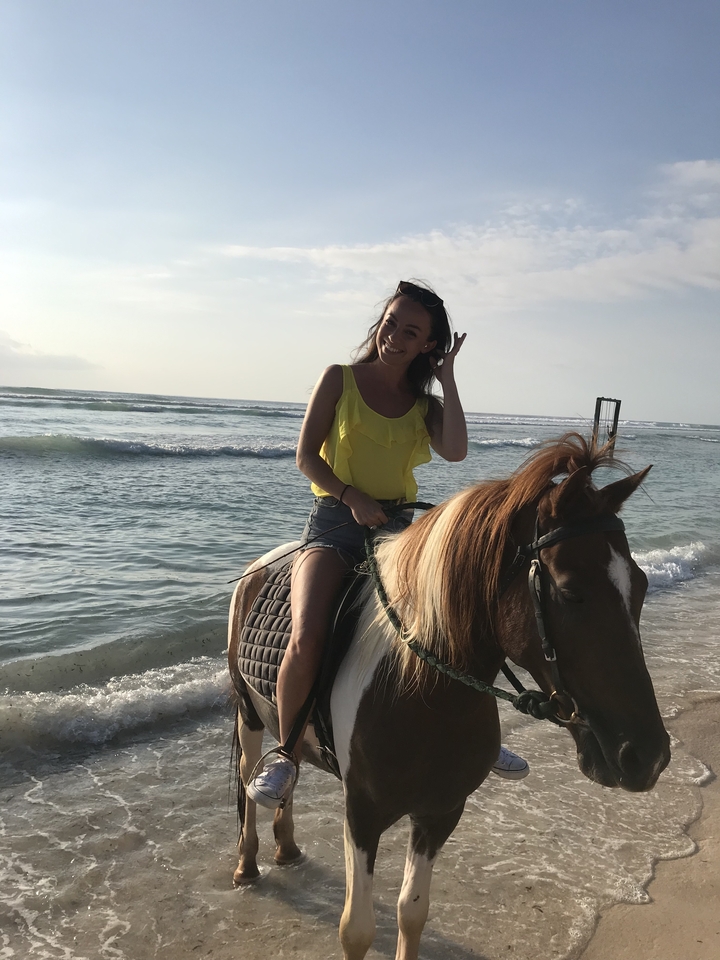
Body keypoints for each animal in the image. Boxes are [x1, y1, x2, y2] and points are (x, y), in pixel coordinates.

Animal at [227, 433, 670, 960]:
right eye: (569, 591)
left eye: (641, 586)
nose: (647, 757)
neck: (421, 693)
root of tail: (261, 565)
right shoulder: (363, 814)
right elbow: (356, 929)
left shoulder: (440, 811)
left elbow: (412, 912)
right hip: (249, 715)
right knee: (249, 776)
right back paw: (248, 861)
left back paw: (287, 846)